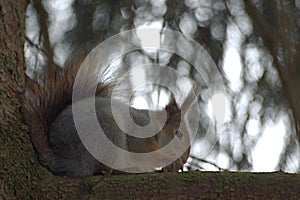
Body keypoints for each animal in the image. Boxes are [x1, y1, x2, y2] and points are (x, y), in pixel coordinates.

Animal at [22, 43, 198, 177]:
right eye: (179, 134)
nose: (184, 159)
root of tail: (70, 162)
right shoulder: (139, 128)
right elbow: (142, 148)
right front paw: (167, 160)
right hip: (108, 131)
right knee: (100, 168)